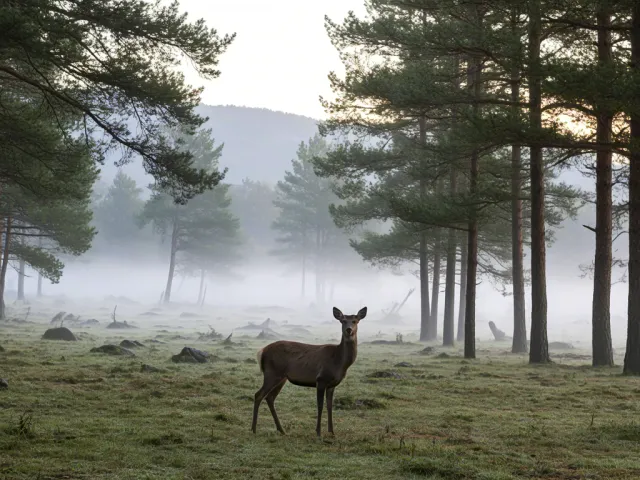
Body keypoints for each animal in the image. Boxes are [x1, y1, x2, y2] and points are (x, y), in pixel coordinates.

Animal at [251, 306, 367, 437]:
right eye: (342, 321)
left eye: (355, 321)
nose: (349, 330)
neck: (339, 362)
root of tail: (261, 352)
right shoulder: (321, 379)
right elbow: (320, 405)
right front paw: (318, 432)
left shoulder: (332, 384)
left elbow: (330, 406)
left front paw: (332, 432)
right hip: (272, 373)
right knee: (258, 395)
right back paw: (254, 429)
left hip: (281, 377)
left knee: (270, 397)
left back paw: (281, 430)